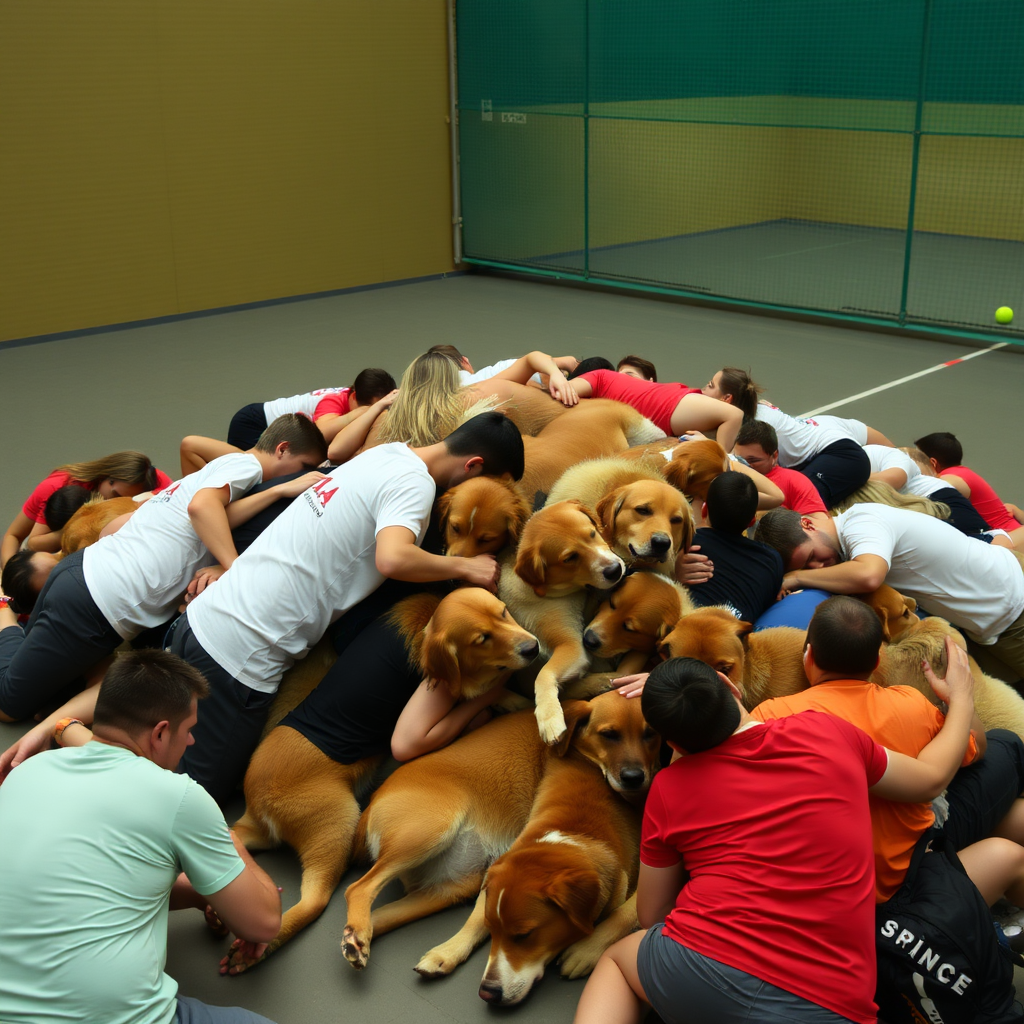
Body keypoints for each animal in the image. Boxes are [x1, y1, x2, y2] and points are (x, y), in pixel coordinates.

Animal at [222, 589, 544, 970]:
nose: (533, 648)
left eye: (505, 613)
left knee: (232, 839)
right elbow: (475, 694)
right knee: (338, 895)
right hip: (341, 828)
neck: (426, 615)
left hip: (262, 831)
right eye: (482, 638)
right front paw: (499, 699)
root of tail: (260, 801)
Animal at [344, 692, 659, 987]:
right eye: (608, 735)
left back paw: (356, 938)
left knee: (378, 913)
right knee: (358, 888)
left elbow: (625, 914)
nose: (634, 778)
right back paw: (358, 932)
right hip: (430, 831)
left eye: (651, 734)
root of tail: (370, 802)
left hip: (452, 887)